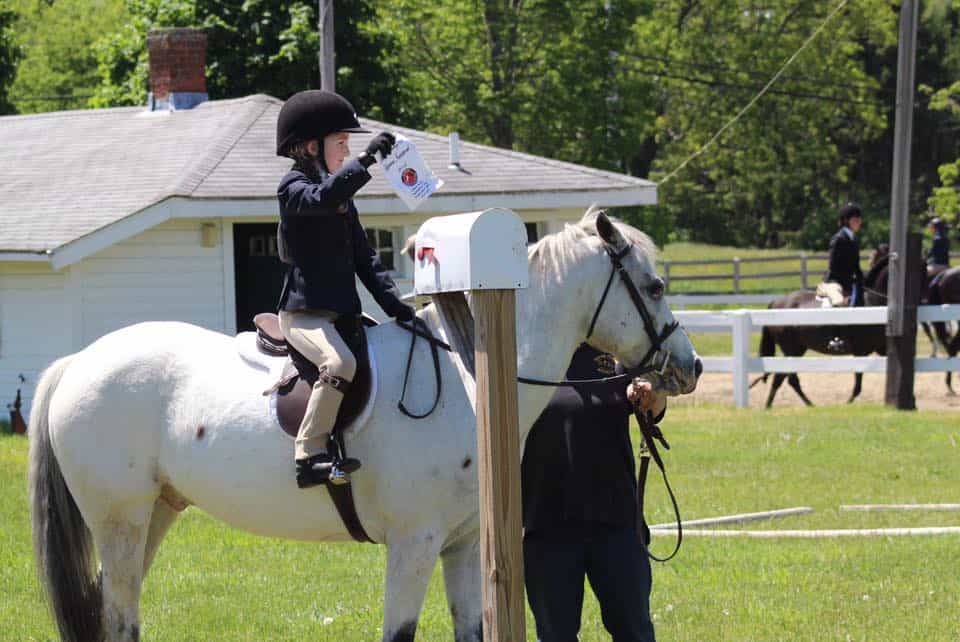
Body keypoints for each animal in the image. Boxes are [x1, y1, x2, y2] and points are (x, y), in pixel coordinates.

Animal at [28, 209, 700, 642]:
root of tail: (78, 361)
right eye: (654, 286)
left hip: (155, 515)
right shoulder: (413, 544)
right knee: (119, 618)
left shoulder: (462, 546)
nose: (688, 367)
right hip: (120, 520)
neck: (467, 377)